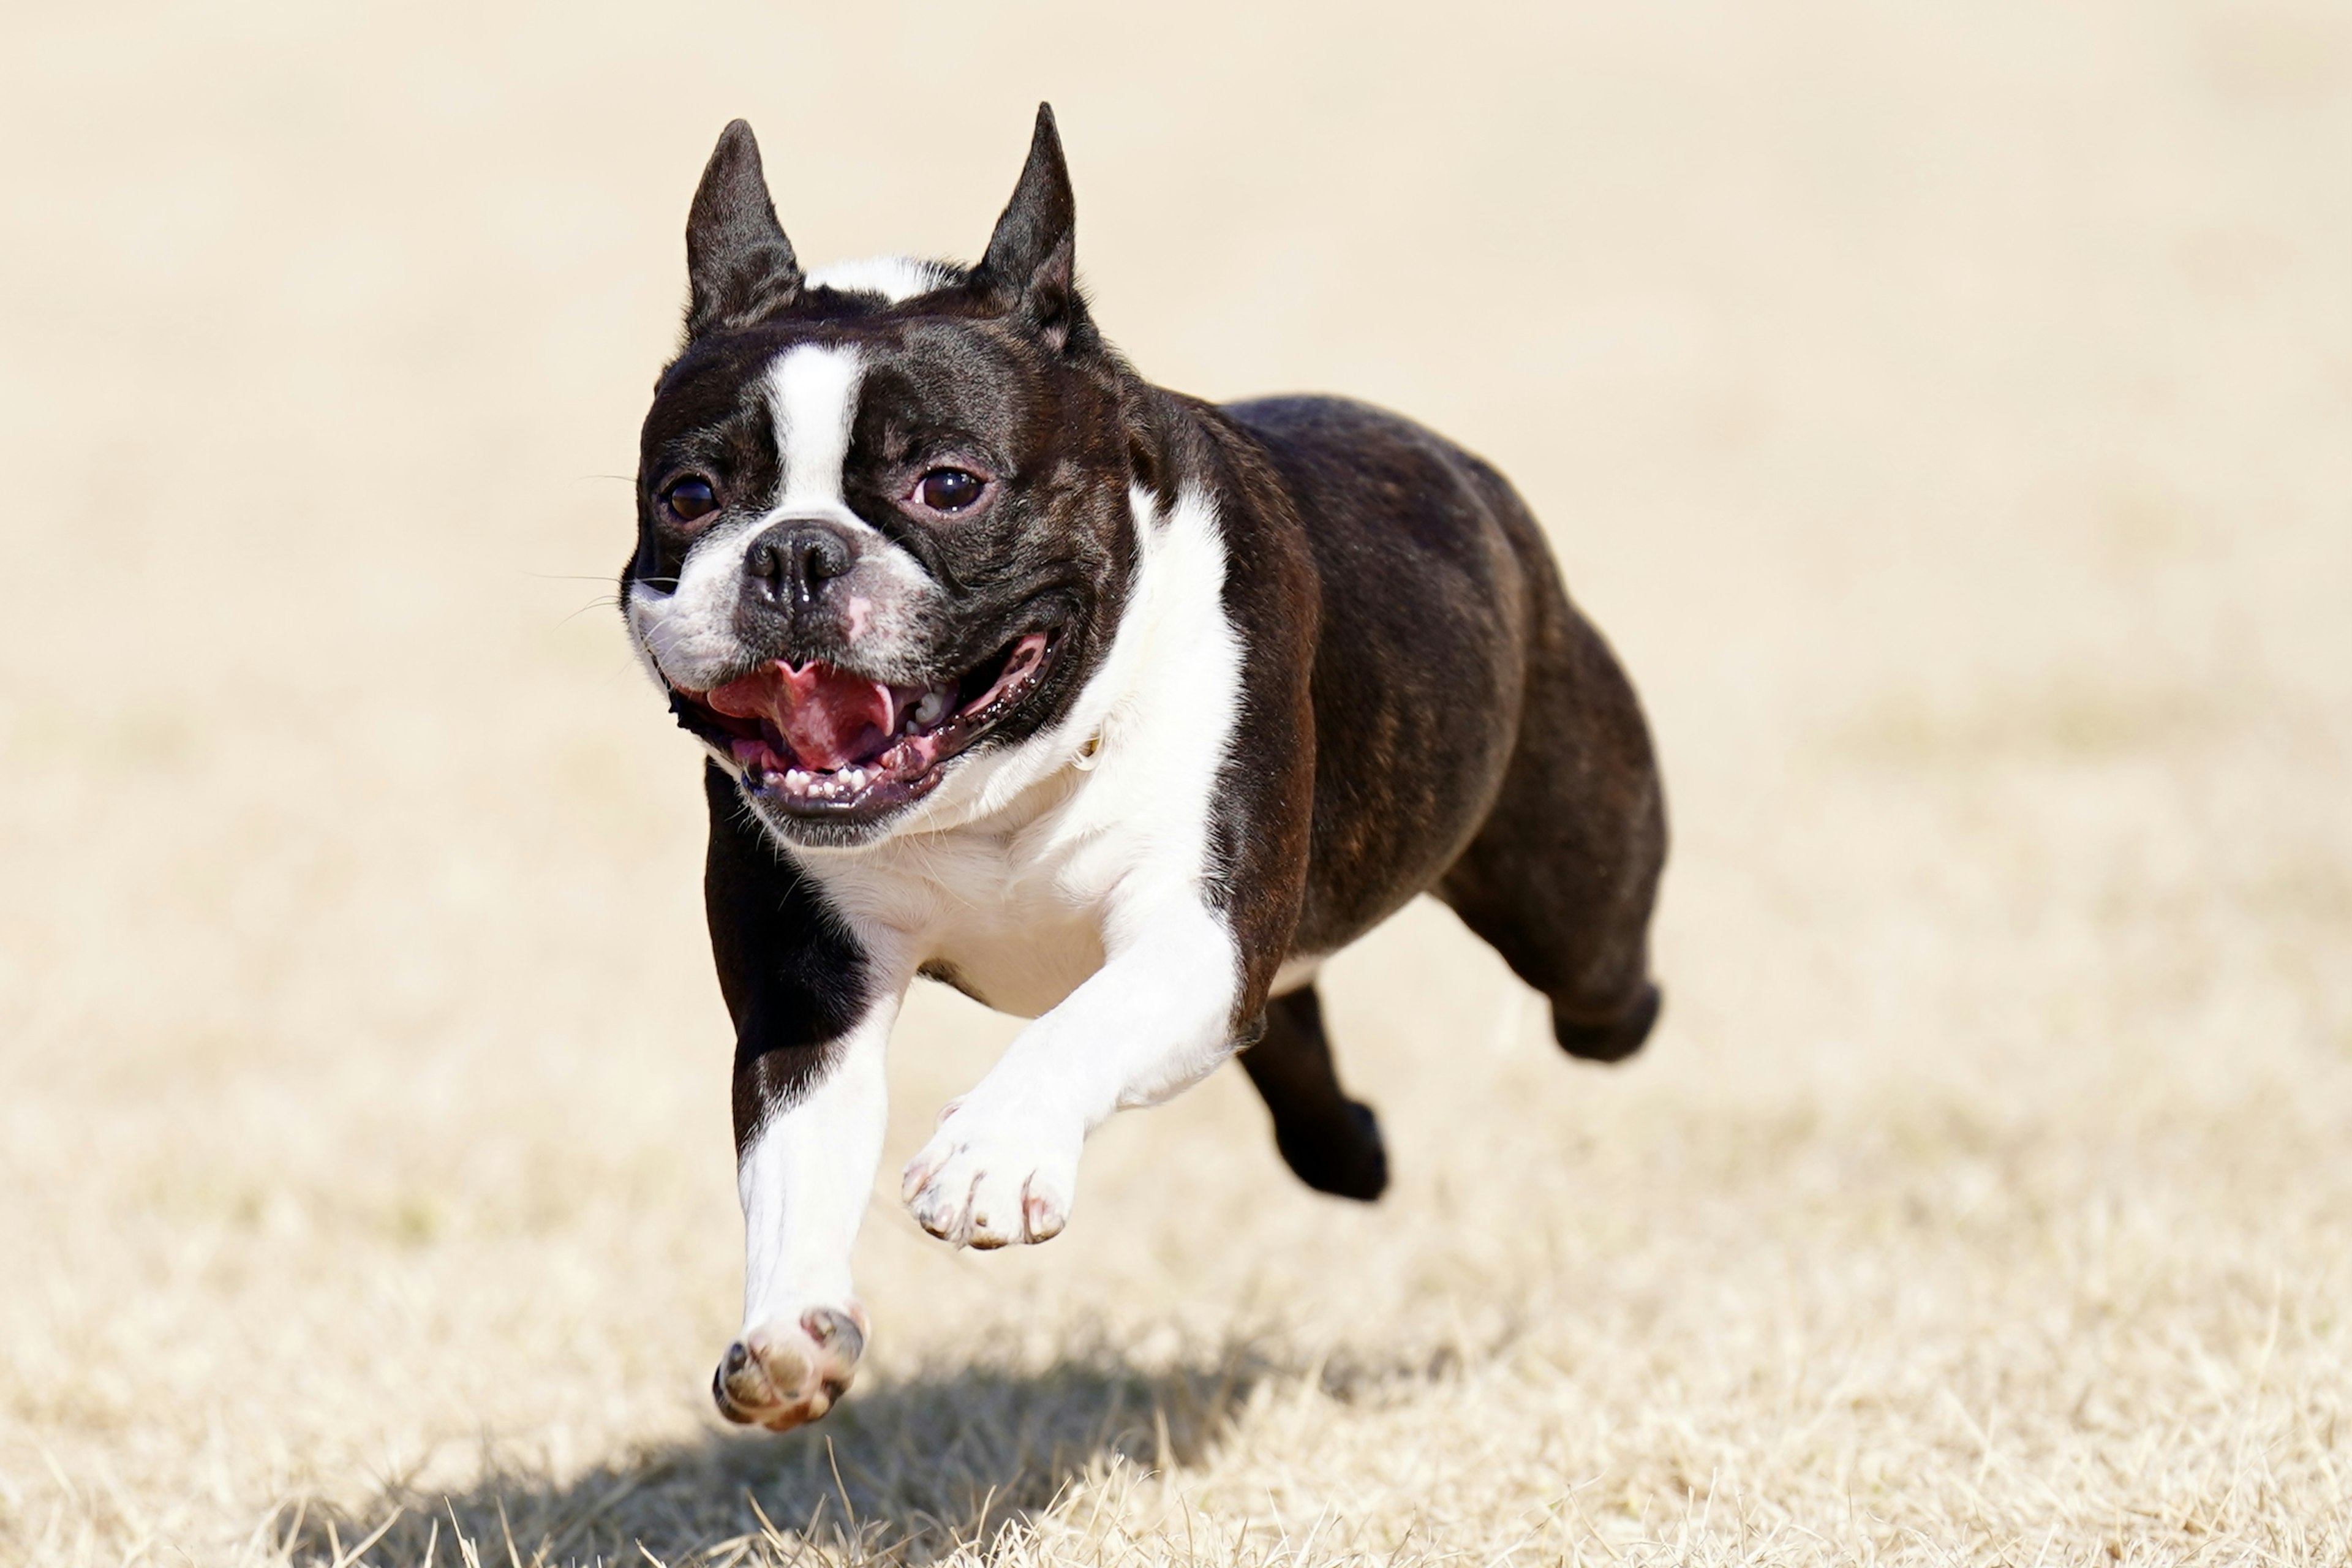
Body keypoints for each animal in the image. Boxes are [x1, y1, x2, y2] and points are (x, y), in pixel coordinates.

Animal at [616, 107, 1665, 1438]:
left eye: (948, 484)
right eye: (688, 496)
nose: (795, 553)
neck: (1001, 778)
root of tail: (1462, 471)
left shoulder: (1194, 933)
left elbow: (1083, 1024)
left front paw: (994, 1150)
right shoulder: (812, 991)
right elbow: (796, 1155)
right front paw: (792, 1331)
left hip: (1575, 902)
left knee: (1602, 992)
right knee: (1297, 1040)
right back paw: (1354, 1148)